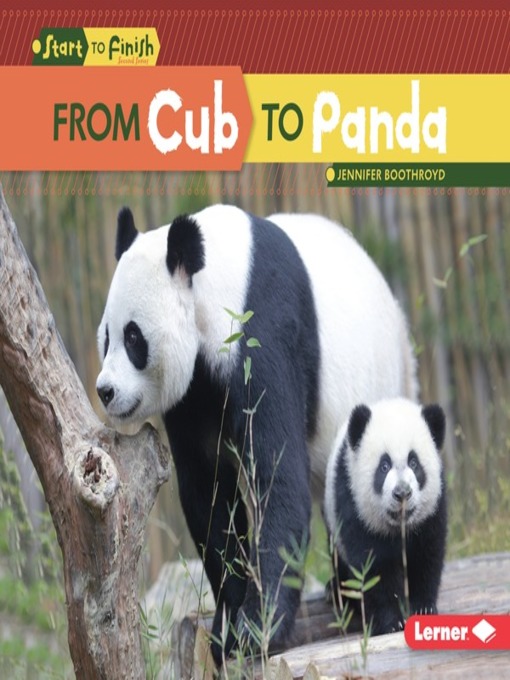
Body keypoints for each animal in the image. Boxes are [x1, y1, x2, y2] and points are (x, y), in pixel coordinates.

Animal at [96, 204, 417, 663]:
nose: (106, 391)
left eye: (134, 336)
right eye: (106, 337)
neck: (218, 280)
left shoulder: (262, 332)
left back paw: (360, 597)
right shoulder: (196, 391)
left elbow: (277, 480)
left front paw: (255, 629)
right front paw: (227, 623)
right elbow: (209, 493)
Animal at [324, 398, 447, 636]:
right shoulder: (354, 504)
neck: (399, 527)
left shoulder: (431, 511)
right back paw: (337, 592)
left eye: (414, 463)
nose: (402, 493)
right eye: (384, 465)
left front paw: (423, 609)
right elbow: (372, 567)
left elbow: (427, 556)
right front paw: (391, 622)